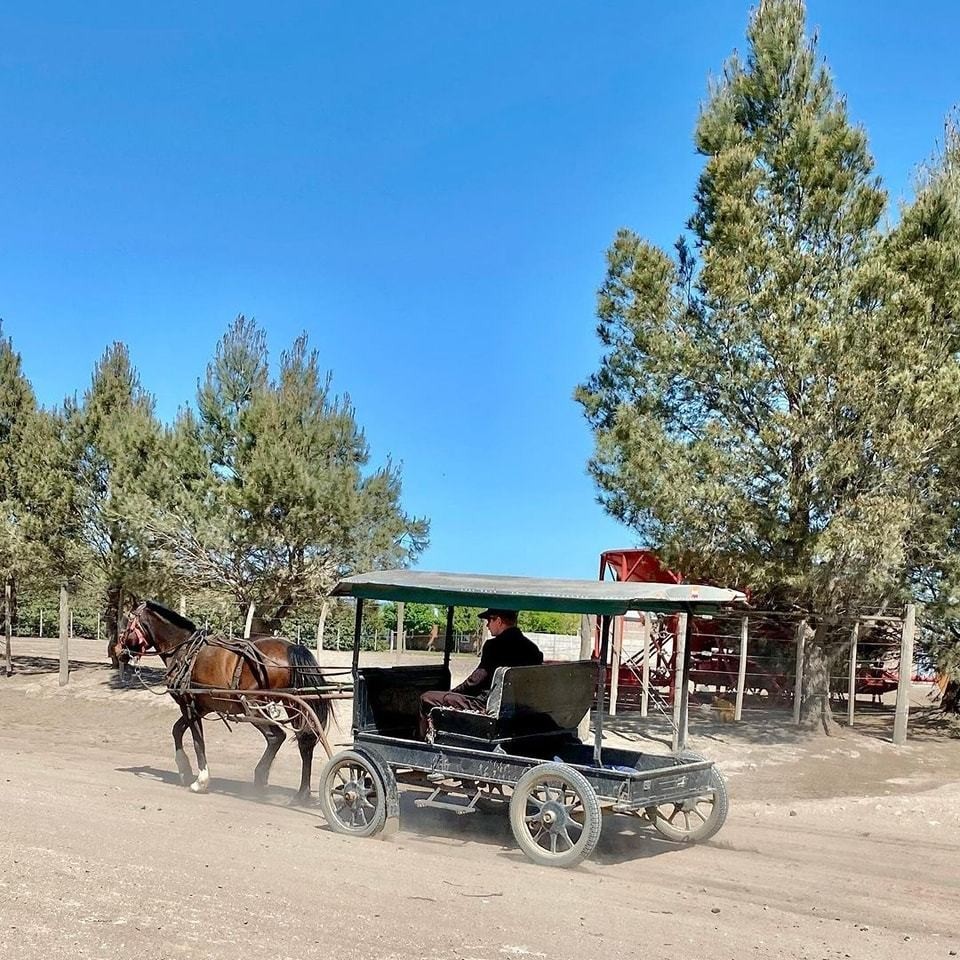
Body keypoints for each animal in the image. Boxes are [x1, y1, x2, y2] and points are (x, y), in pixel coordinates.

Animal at [117, 600, 330, 804]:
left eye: (127, 623)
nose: (117, 650)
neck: (183, 649)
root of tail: (291, 647)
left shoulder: (189, 706)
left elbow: (198, 742)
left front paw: (201, 781)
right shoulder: (202, 707)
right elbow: (177, 730)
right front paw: (184, 769)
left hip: (253, 707)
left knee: (276, 737)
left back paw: (261, 780)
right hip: (294, 703)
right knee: (305, 741)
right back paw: (301, 794)